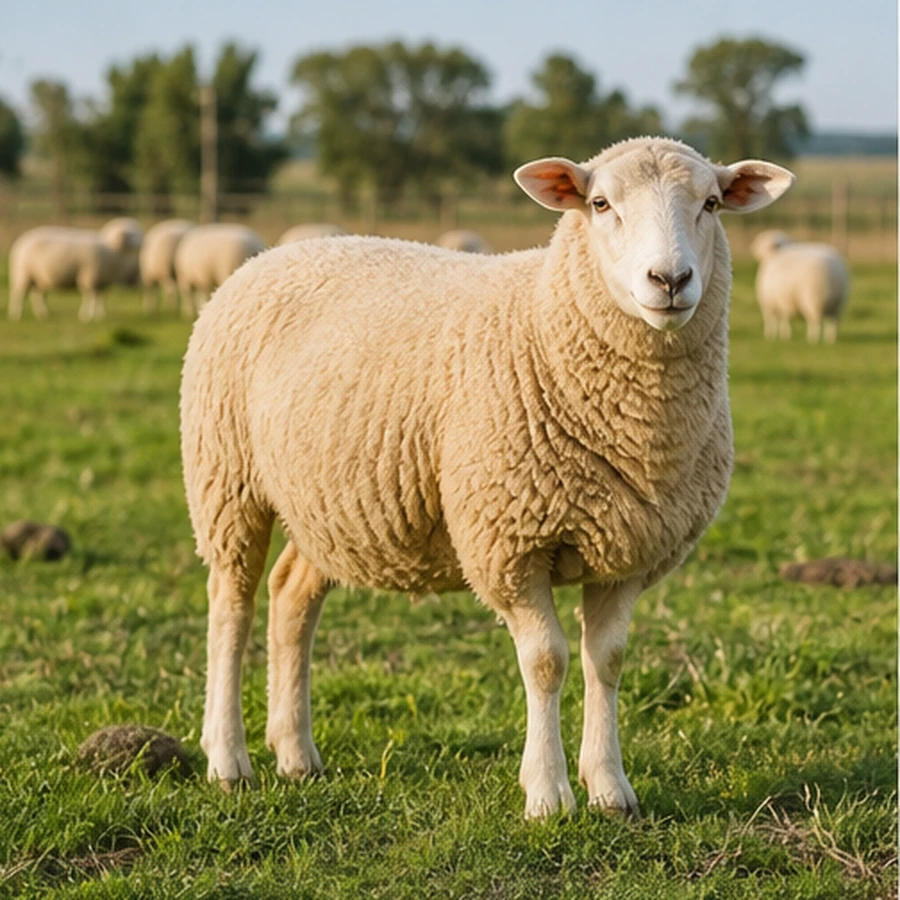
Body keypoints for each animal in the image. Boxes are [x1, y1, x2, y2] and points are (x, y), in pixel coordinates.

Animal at [8, 217, 143, 321]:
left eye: (138, 231)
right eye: (132, 235)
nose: (144, 242)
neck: (111, 249)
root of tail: (21, 240)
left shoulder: (102, 281)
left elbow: (101, 298)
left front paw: (101, 315)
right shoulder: (89, 278)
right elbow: (90, 297)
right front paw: (87, 316)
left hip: (40, 278)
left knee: (37, 295)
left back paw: (43, 314)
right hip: (23, 273)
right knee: (18, 294)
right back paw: (16, 315)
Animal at [180, 137, 793, 819]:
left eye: (711, 203)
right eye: (600, 204)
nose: (671, 281)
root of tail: (270, 255)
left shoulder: (626, 549)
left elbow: (606, 662)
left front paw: (610, 789)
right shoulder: (509, 542)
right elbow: (547, 662)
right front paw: (548, 794)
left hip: (331, 506)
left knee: (291, 595)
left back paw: (295, 754)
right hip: (226, 478)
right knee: (230, 607)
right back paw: (228, 759)